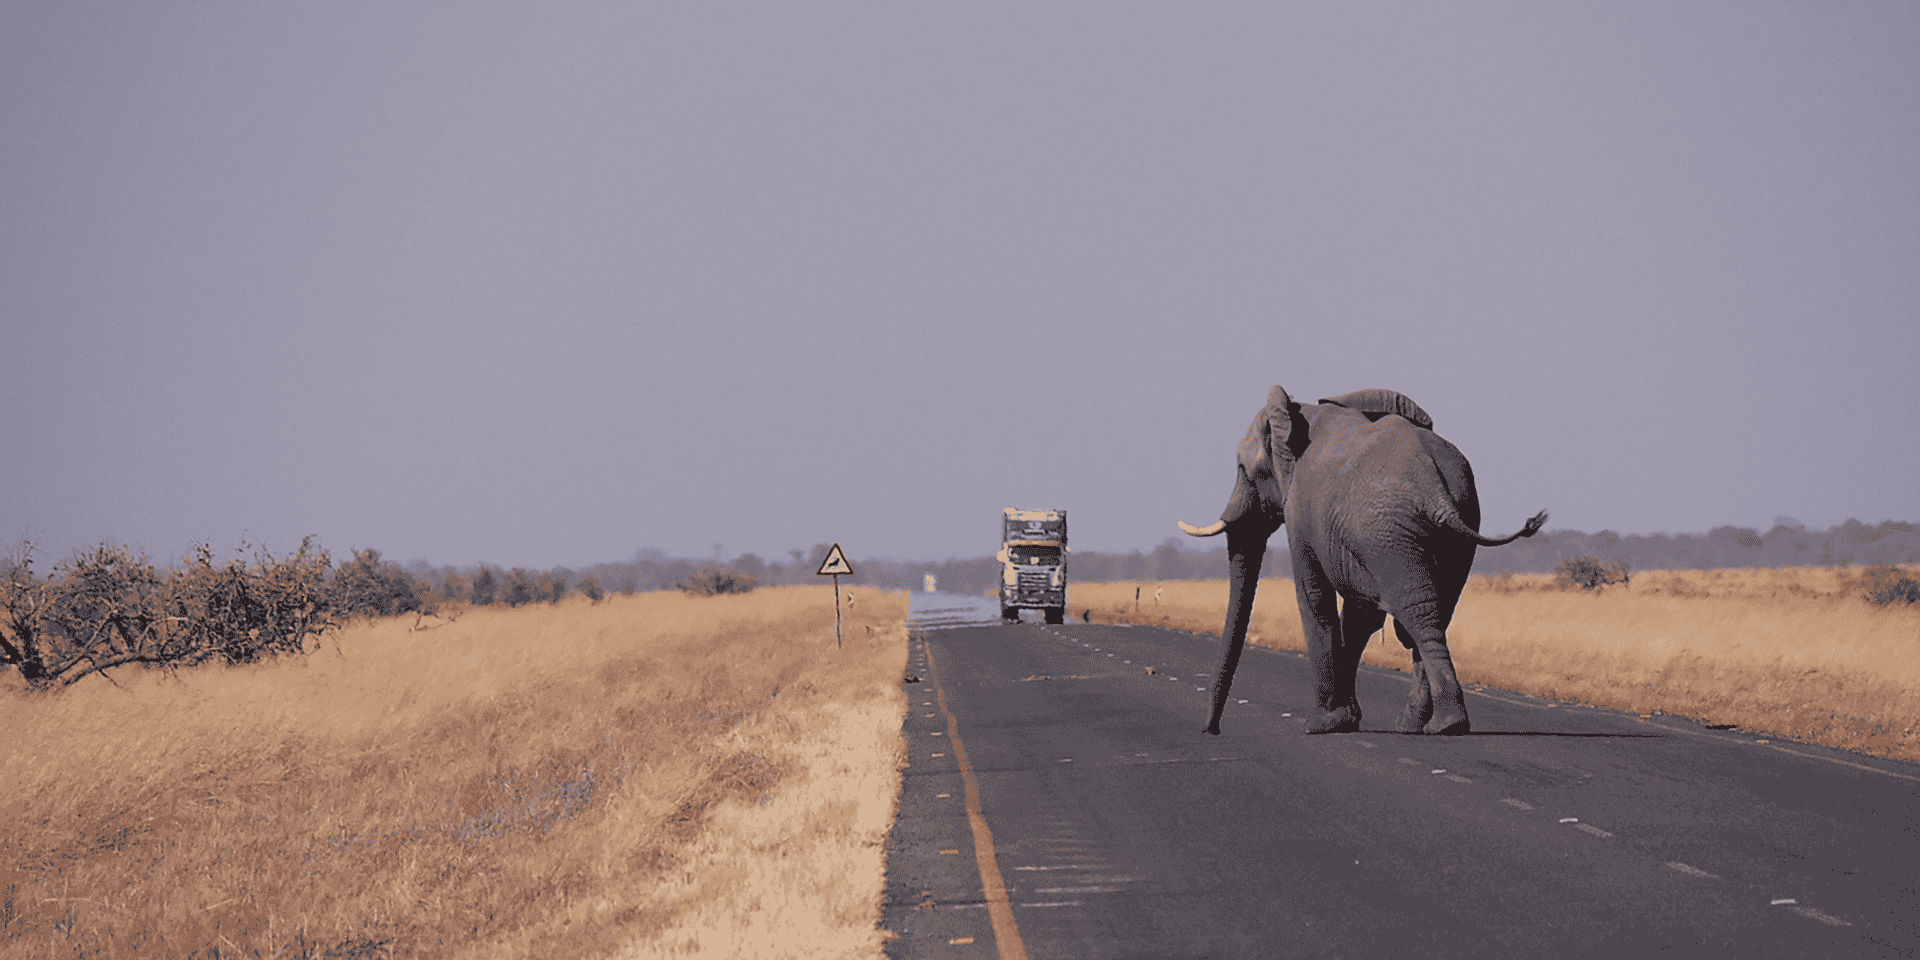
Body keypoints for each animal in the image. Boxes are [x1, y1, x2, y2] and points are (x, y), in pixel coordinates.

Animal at [1178, 386, 1546, 737]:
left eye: (1243, 470)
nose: (1211, 730)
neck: (1298, 413)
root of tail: (1435, 491)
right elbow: (1358, 618)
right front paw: (1346, 719)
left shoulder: (1302, 512)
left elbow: (1315, 600)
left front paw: (1323, 725)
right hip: (1446, 522)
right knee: (1433, 613)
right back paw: (1420, 725)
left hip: (1387, 531)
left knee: (1416, 613)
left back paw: (1441, 725)